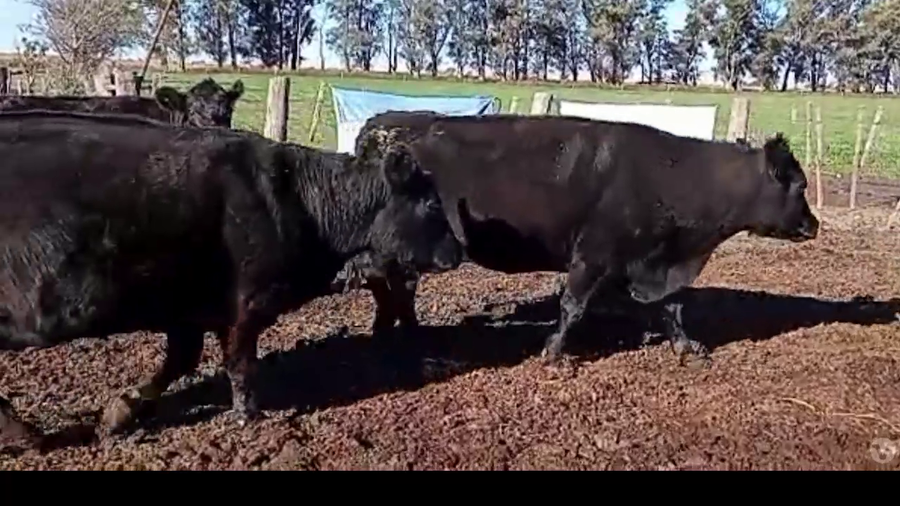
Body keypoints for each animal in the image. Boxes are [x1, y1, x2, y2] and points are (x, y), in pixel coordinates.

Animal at [0, 109, 462, 445]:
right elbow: (239, 363)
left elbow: (181, 360)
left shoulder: (187, 309)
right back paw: (25, 435)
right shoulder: (245, 303)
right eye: (431, 205)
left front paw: (119, 413)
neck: (298, 200)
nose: (458, 253)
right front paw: (249, 416)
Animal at [335, 110, 819, 364]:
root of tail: (386, 126)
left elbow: (671, 308)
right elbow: (572, 305)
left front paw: (687, 347)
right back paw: (410, 338)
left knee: (390, 285)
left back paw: (394, 332)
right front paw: (553, 352)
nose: (813, 225)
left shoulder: (651, 261)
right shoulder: (593, 253)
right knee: (393, 285)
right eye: (799, 185)